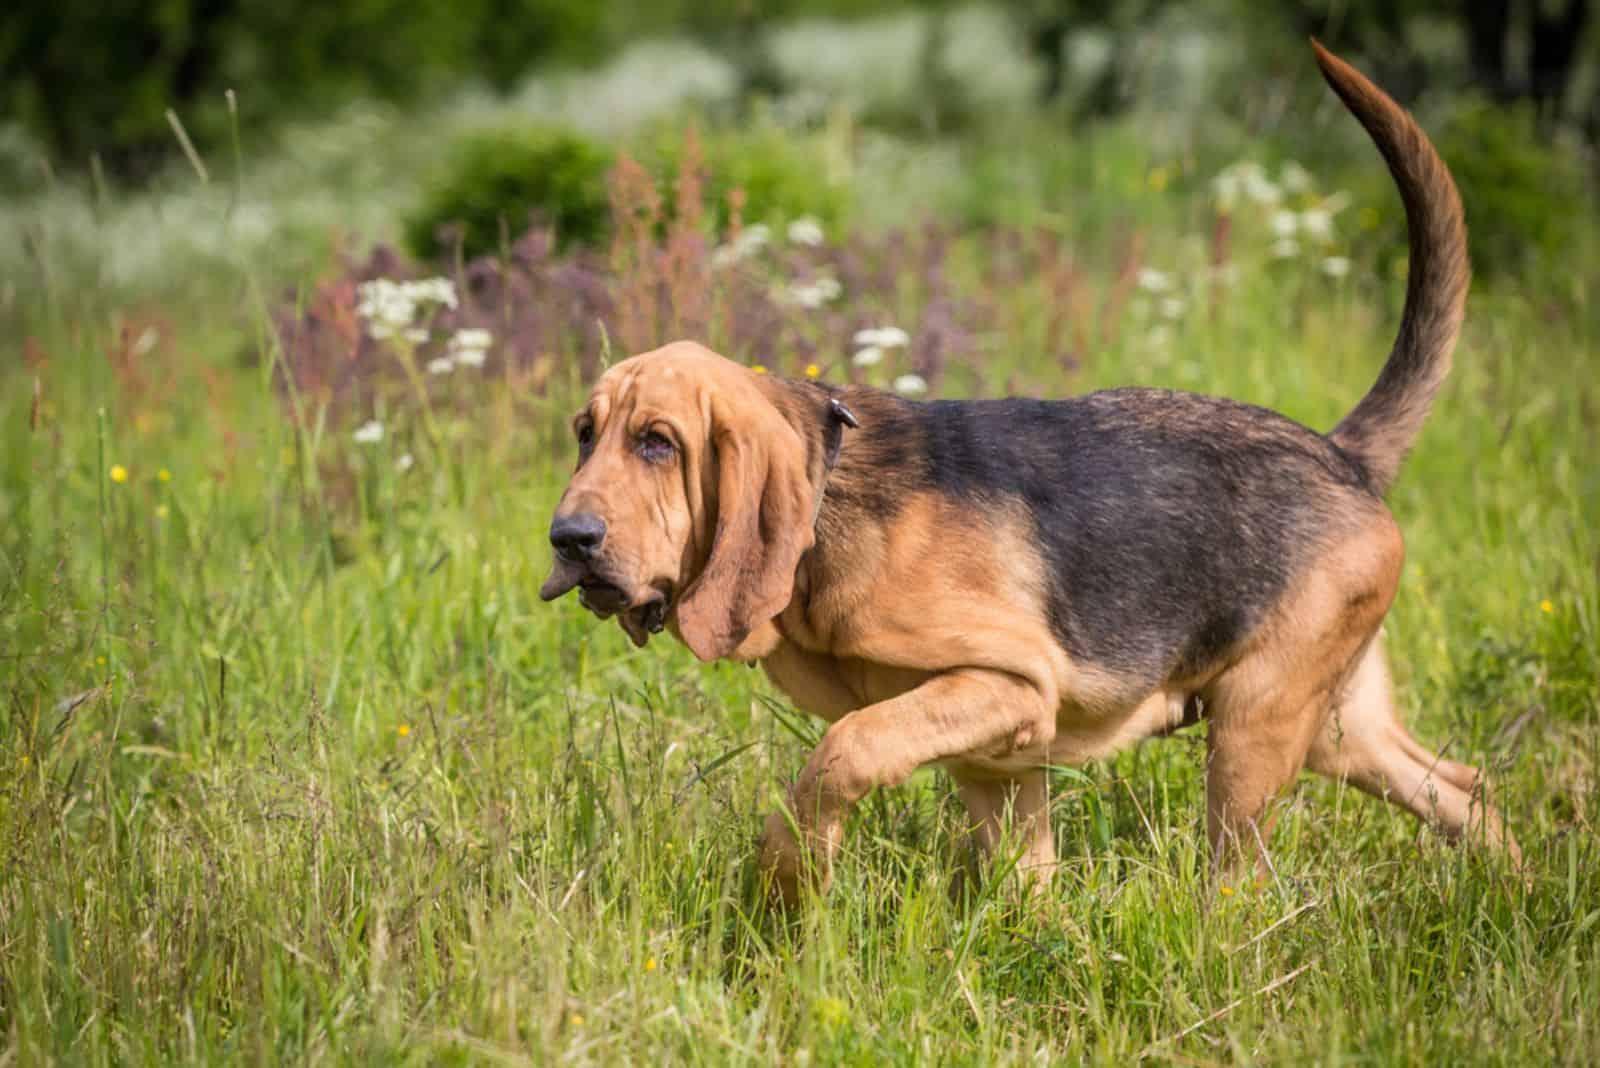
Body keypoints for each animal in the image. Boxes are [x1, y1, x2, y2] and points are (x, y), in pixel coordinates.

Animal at [537, 45, 1510, 908]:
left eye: (658, 443)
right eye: (586, 435)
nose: (568, 541)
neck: (830, 509)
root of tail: (1344, 453)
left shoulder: (1005, 685)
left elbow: (839, 755)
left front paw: (790, 880)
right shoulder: (997, 759)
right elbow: (1024, 886)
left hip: (1254, 731)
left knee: (1240, 882)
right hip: (1340, 731)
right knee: (1468, 793)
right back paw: (1520, 897)